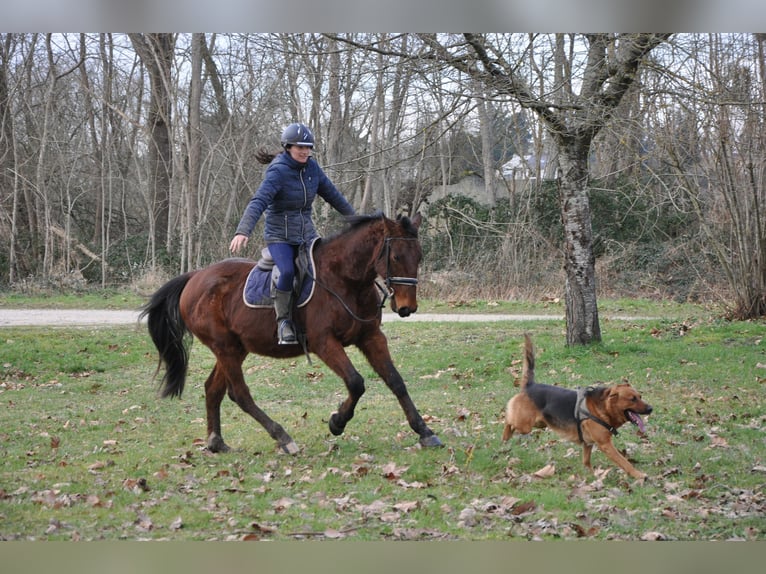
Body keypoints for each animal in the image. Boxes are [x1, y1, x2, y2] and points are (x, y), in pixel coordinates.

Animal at [140, 214, 444, 456]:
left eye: (419, 256)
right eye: (396, 257)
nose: (407, 307)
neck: (346, 281)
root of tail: (195, 277)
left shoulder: (371, 338)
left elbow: (396, 381)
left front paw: (424, 431)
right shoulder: (324, 343)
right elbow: (356, 383)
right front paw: (337, 421)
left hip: (235, 349)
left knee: (213, 389)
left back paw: (217, 442)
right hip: (224, 347)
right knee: (239, 394)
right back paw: (283, 437)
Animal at [504, 336, 656, 480]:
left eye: (640, 396)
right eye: (632, 399)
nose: (650, 409)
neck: (603, 409)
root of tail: (529, 386)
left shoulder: (588, 444)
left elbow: (586, 462)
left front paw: (592, 475)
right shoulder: (606, 445)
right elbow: (625, 462)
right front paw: (638, 475)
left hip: (539, 424)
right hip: (524, 425)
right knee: (509, 421)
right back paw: (505, 435)